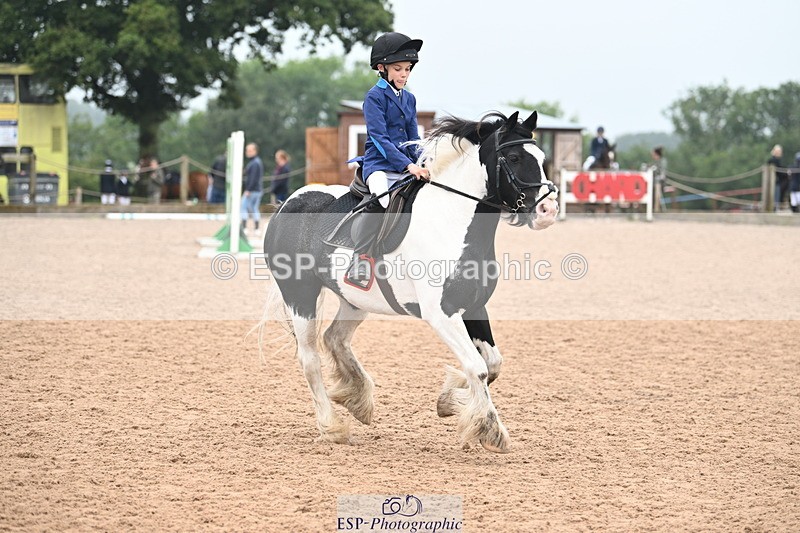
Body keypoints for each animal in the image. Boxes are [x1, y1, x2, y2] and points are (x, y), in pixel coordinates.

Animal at [262, 111, 559, 453]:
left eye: (541, 158)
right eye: (513, 157)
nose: (548, 211)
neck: (451, 220)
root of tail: (287, 204)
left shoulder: (474, 307)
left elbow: (491, 364)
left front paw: (450, 401)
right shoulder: (442, 314)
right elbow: (477, 367)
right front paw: (490, 429)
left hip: (355, 300)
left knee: (334, 338)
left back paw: (357, 399)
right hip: (300, 295)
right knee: (309, 358)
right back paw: (331, 425)